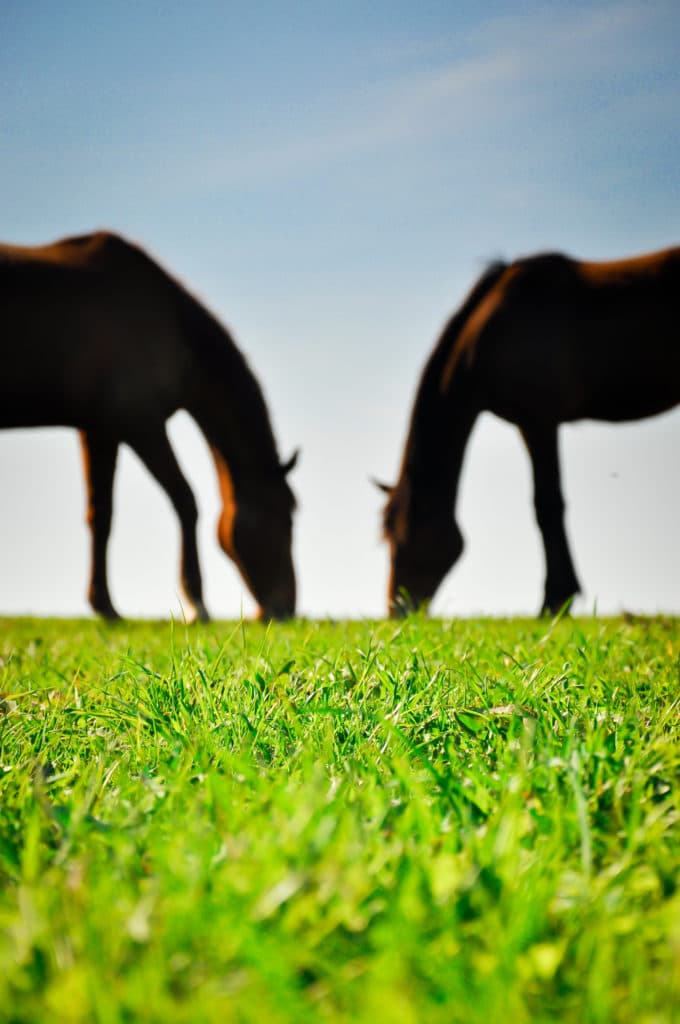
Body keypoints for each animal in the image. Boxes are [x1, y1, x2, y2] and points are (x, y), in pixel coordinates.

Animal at [0, 230, 299, 621]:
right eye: (286, 519)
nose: (286, 608)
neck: (174, 330)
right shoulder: (139, 421)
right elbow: (186, 500)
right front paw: (196, 603)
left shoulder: (99, 429)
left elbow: (101, 514)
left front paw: (106, 606)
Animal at [379, 246, 680, 617]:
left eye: (400, 538)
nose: (396, 609)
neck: (484, 335)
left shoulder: (537, 419)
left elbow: (547, 505)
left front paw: (555, 600)